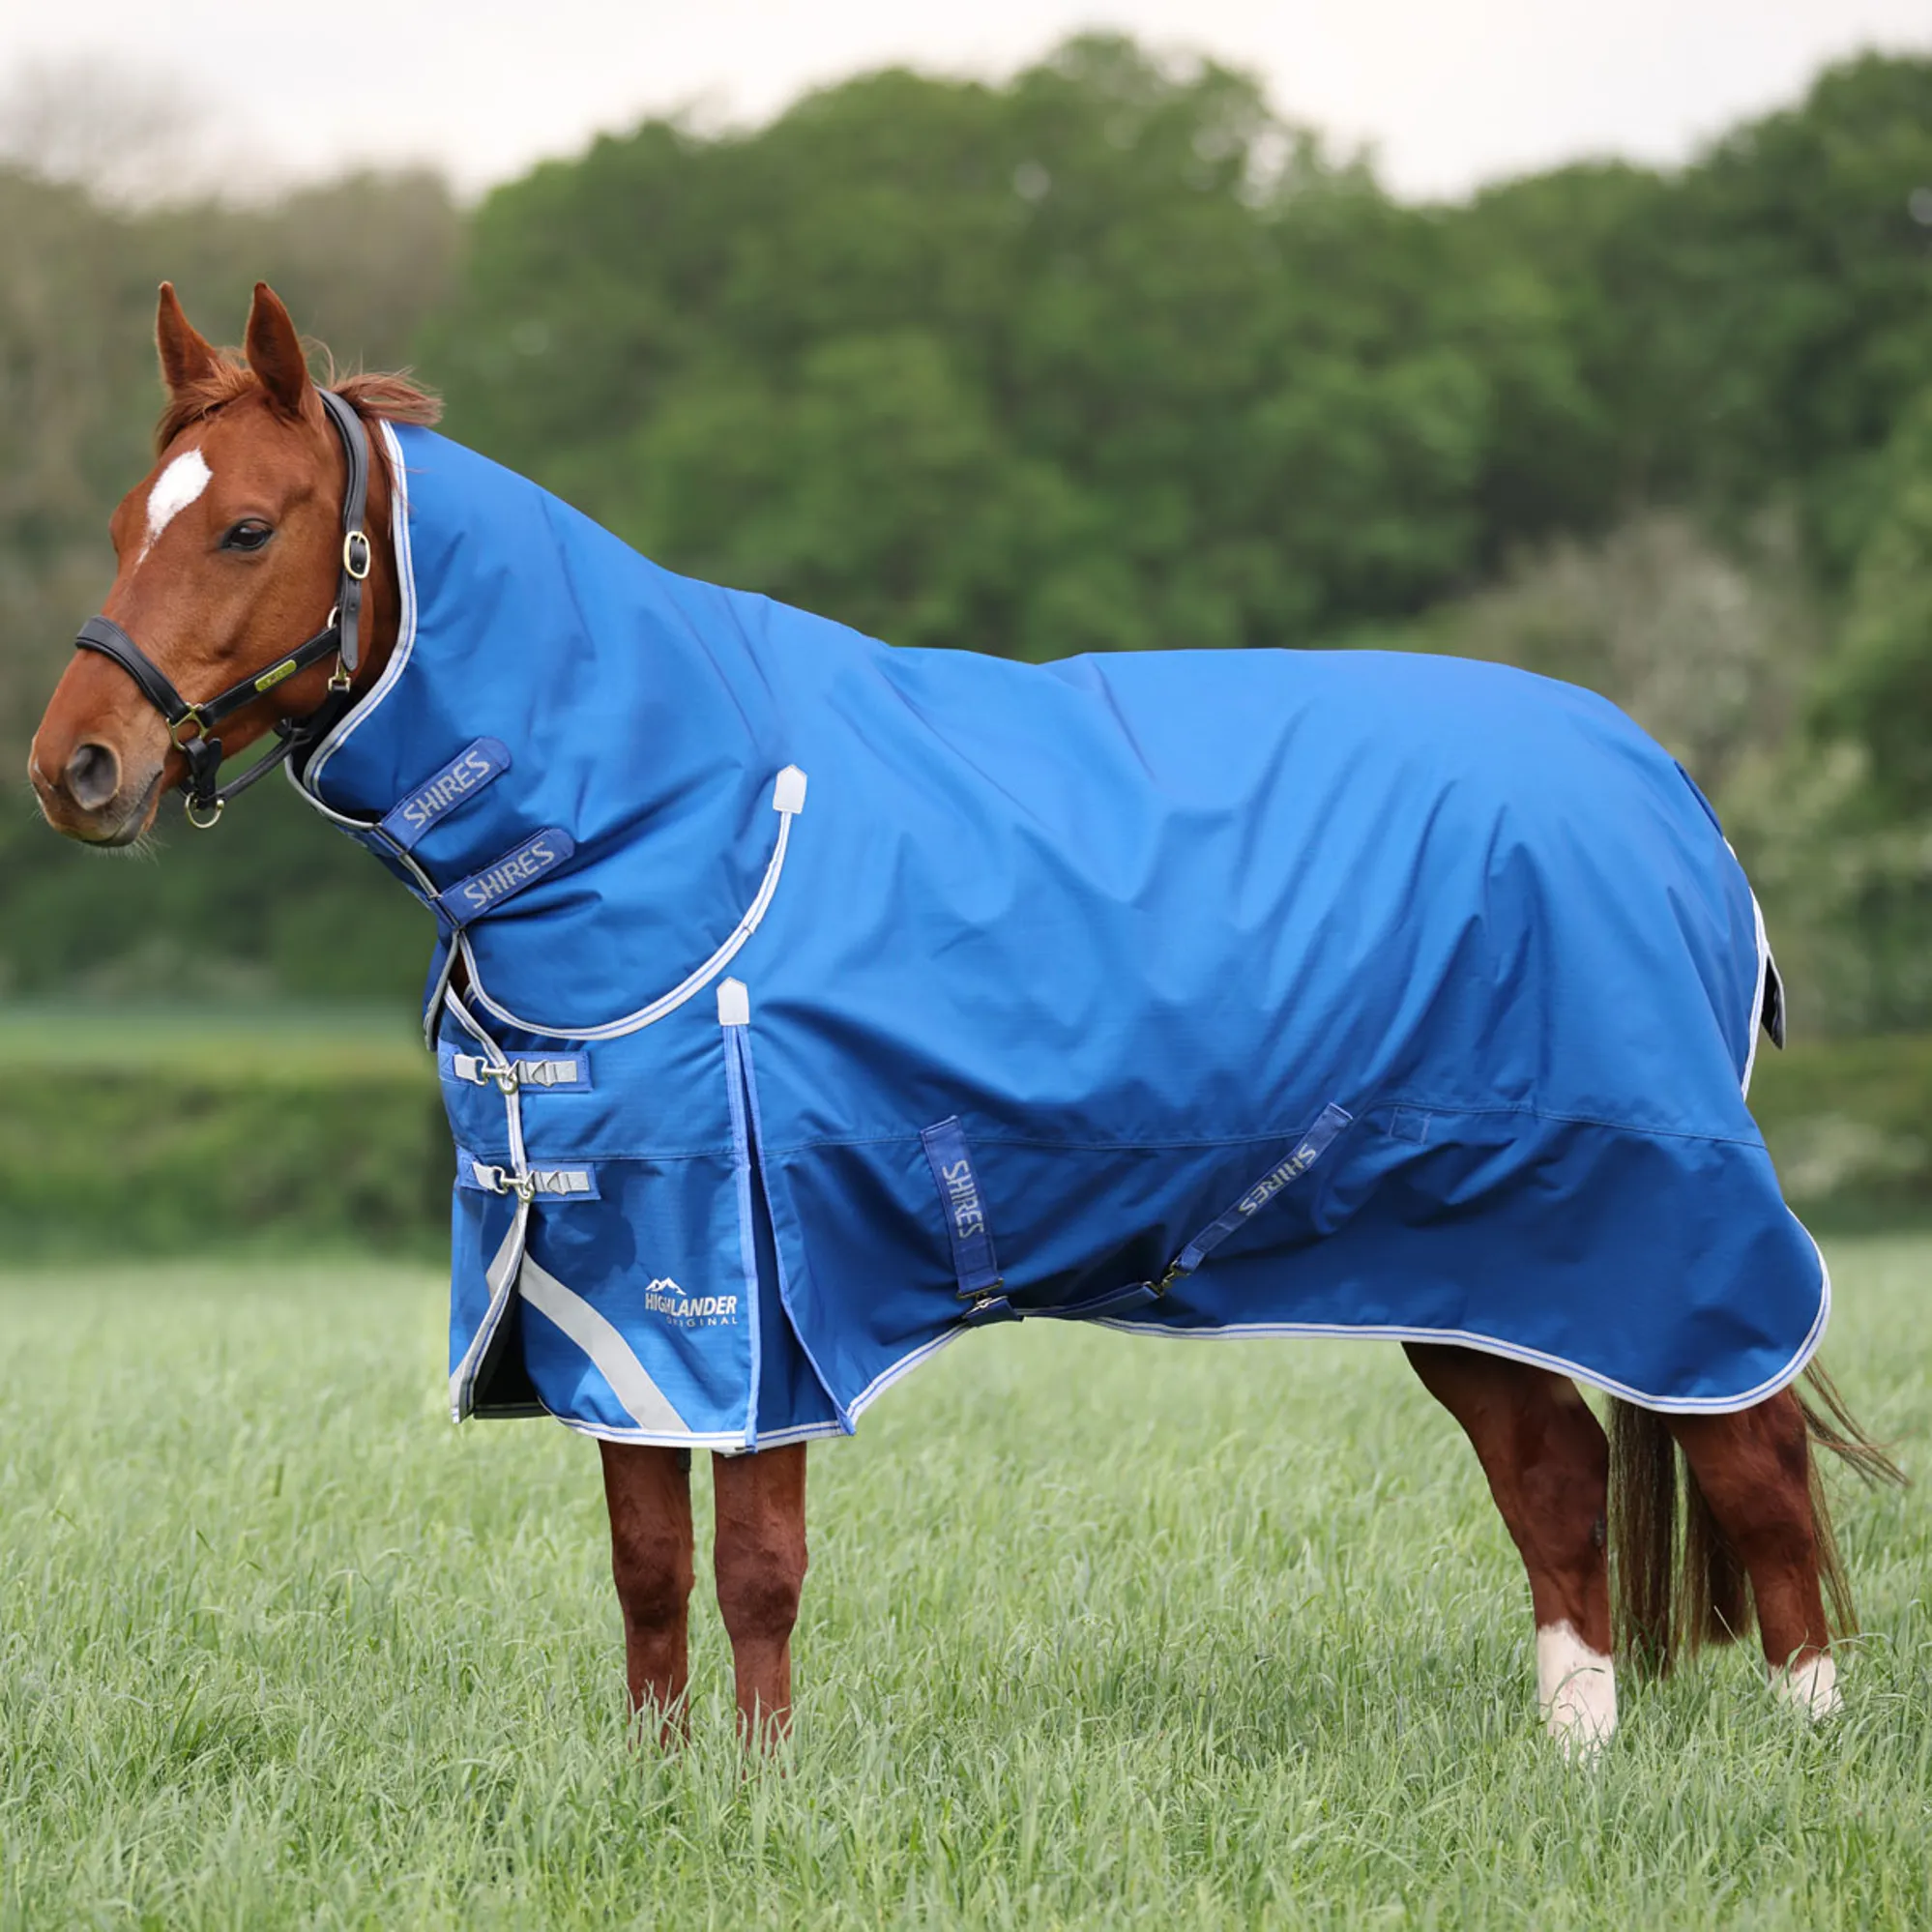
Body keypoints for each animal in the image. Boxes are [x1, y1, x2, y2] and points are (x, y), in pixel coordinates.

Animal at [29, 282, 1900, 1756]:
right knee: (1554, 1477)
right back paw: (1577, 1751)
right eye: (125, 518)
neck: (667, 815)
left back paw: (1805, 1739)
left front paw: (757, 1787)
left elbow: (755, 1564)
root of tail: (1668, 791)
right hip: (1462, 1243)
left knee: (1750, 1458)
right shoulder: (607, 1270)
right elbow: (645, 1564)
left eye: (247, 526)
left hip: (1656, 1214)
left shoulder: (757, 1275)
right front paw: (657, 1780)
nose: (77, 769)